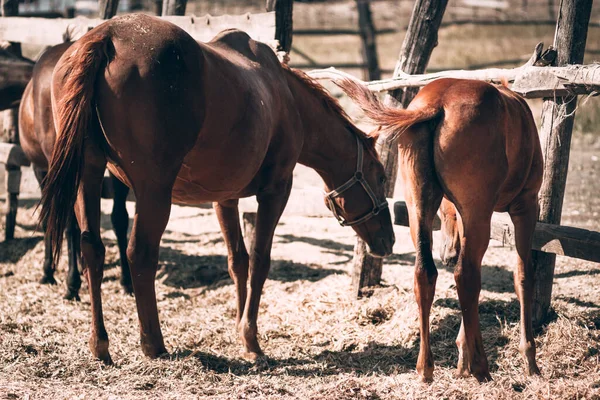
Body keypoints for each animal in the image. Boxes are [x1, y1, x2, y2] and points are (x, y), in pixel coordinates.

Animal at [18, 43, 131, 300]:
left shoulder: (43, 170)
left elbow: (52, 219)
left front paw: (50, 271)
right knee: (111, 219)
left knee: (71, 222)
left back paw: (72, 282)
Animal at [342, 78, 544, 382]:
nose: (447, 250)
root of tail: (436, 104)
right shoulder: (526, 207)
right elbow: (523, 276)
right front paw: (529, 359)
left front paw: (461, 357)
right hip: (478, 211)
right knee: (466, 275)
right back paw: (481, 367)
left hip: (419, 206)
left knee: (426, 273)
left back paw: (426, 367)